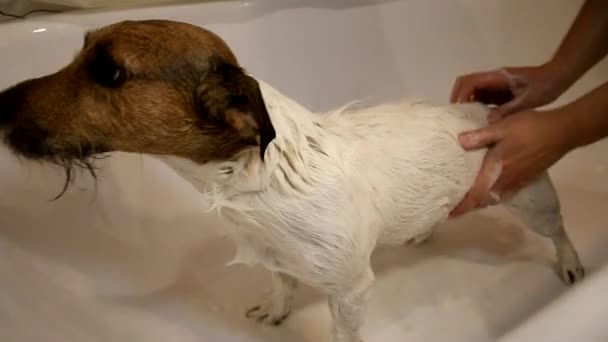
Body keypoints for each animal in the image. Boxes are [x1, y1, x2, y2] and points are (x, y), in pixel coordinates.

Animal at [0, 19, 584, 342]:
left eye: (109, 72)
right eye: (81, 51)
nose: (0, 101)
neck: (259, 185)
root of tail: (485, 113)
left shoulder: (349, 291)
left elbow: (343, 333)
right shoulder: (277, 259)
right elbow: (282, 287)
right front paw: (275, 311)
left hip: (530, 198)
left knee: (558, 230)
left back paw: (573, 263)